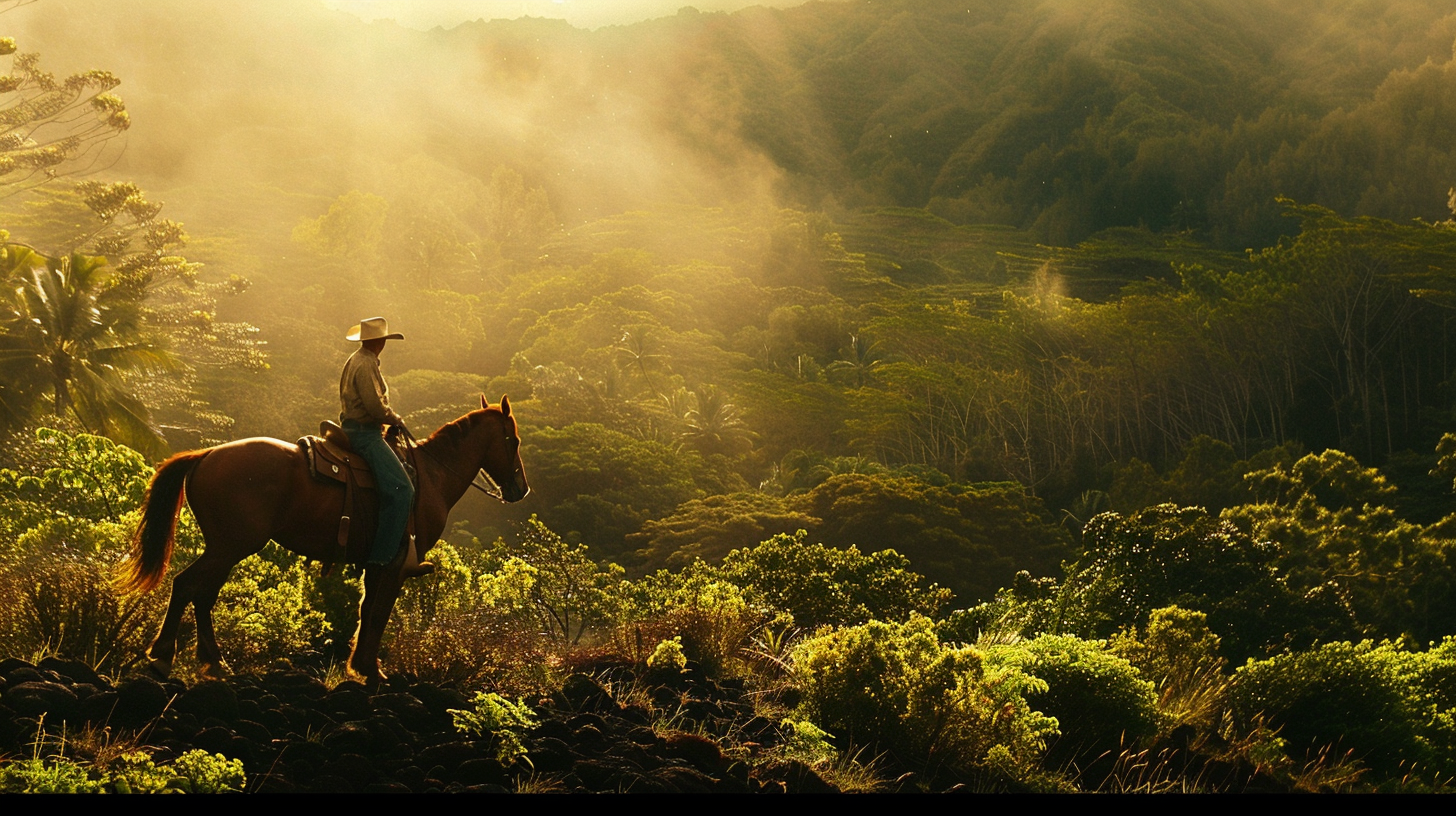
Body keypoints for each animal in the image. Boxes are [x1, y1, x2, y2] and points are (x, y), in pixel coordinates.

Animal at [120, 396, 529, 681]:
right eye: (513, 440)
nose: (520, 489)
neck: (429, 477)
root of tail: (207, 454)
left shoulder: (376, 563)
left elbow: (366, 610)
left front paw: (359, 666)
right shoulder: (395, 564)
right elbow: (379, 613)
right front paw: (371, 671)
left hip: (225, 547)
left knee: (202, 594)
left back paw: (214, 663)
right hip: (230, 546)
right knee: (187, 586)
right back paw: (163, 656)